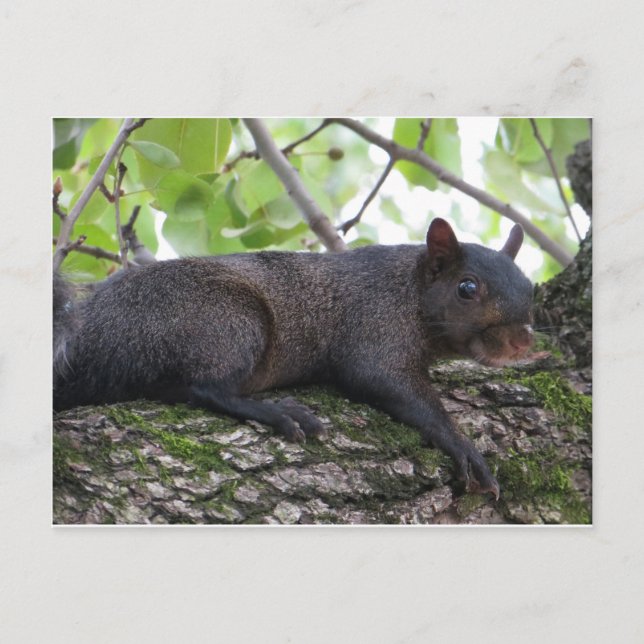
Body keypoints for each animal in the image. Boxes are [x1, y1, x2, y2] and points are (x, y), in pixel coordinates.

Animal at [53, 218, 534, 498]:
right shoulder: (374, 329)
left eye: (529, 285)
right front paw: (463, 447)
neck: (410, 287)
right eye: (467, 288)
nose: (522, 342)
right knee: (203, 388)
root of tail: (90, 335)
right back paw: (280, 413)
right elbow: (391, 385)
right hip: (226, 320)